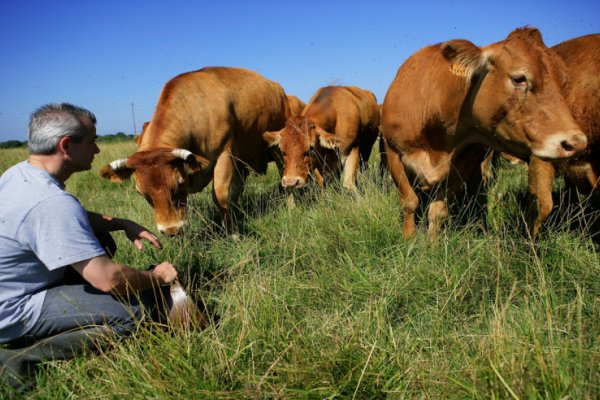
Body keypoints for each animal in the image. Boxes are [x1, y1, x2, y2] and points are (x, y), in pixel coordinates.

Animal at [100, 66, 290, 234]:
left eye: (179, 183)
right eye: (141, 192)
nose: (171, 231)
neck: (194, 113)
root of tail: (277, 87)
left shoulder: (224, 154)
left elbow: (220, 197)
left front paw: (233, 234)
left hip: (278, 148)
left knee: (284, 177)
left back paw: (291, 205)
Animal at [384, 27, 584, 238]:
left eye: (563, 81)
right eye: (519, 78)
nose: (577, 142)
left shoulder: (465, 164)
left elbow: (438, 211)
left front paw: (431, 243)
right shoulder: (393, 152)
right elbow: (409, 202)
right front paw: (409, 238)